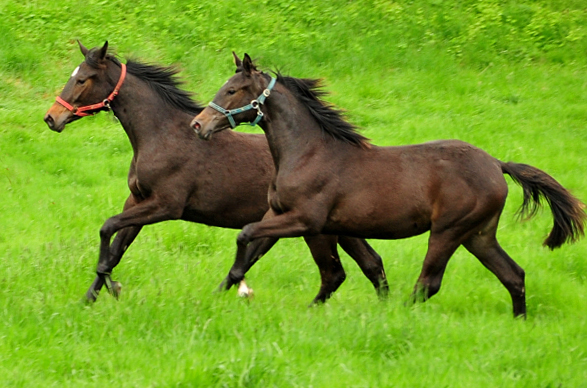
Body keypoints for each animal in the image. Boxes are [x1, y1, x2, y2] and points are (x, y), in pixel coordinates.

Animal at [42, 41, 390, 304]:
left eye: (83, 79)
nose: (51, 117)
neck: (160, 134)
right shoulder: (137, 201)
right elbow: (115, 248)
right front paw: (89, 299)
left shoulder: (164, 206)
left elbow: (107, 229)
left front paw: (110, 286)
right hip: (340, 226)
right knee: (371, 264)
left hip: (314, 228)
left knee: (337, 272)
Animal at [191, 53, 584, 316]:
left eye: (233, 90)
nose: (198, 124)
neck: (308, 152)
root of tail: (496, 165)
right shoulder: (279, 214)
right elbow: (250, 247)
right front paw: (220, 294)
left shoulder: (307, 222)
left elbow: (266, 243)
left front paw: (258, 296)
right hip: (479, 234)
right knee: (513, 275)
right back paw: (521, 321)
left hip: (449, 231)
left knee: (429, 283)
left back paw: (396, 315)